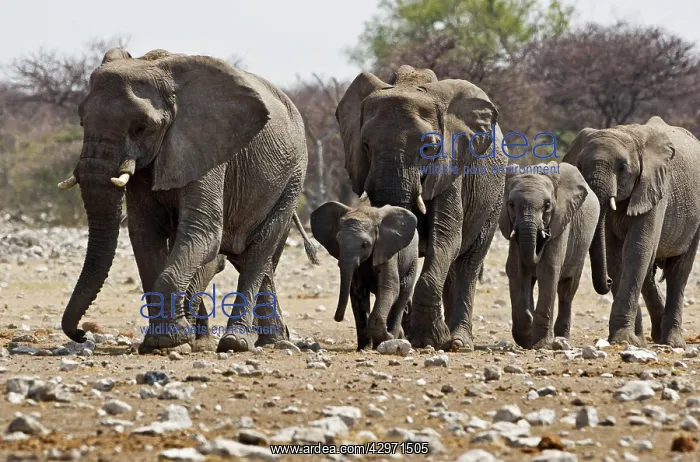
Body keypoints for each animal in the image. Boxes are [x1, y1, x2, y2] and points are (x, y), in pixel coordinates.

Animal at [56, 47, 319, 354]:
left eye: (142, 127)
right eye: (81, 121)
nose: (81, 334)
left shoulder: (206, 147)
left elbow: (202, 233)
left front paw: (170, 339)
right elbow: (145, 237)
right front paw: (163, 341)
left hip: (293, 177)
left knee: (257, 255)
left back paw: (236, 342)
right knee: (257, 261)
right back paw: (273, 342)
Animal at [310, 202, 419, 349]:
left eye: (365, 244)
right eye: (337, 243)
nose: (338, 318)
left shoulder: (387, 250)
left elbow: (390, 288)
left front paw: (386, 339)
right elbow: (357, 292)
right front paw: (365, 348)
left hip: (412, 259)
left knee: (403, 294)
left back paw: (394, 338)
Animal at [335, 64, 508, 350]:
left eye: (429, 148)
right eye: (365, 145)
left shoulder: (451, 167)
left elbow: (447, 238)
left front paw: (429, 339)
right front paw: (412, 336)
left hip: (495, 196)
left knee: (468, 261)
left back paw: (458, 342)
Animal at [498, 162, 599, 349]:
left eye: (547, 205)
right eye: (511, 204)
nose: (544, 235)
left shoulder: (562, 221)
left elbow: (548, 269)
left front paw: (541, 345)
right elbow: (516, 269)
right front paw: (526, 339)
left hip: (581, 247)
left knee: (567, 290)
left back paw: (563, 339)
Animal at [562, 116, 700, 348]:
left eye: (623, 168)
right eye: (579, 166)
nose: (607, 281)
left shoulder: (656, 186)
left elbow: (636, 249)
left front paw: (623, 340)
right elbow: (615, 255)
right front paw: (634, 341)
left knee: (679, 271)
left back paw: (671, 343)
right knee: (649, 273)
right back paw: (656, 337)